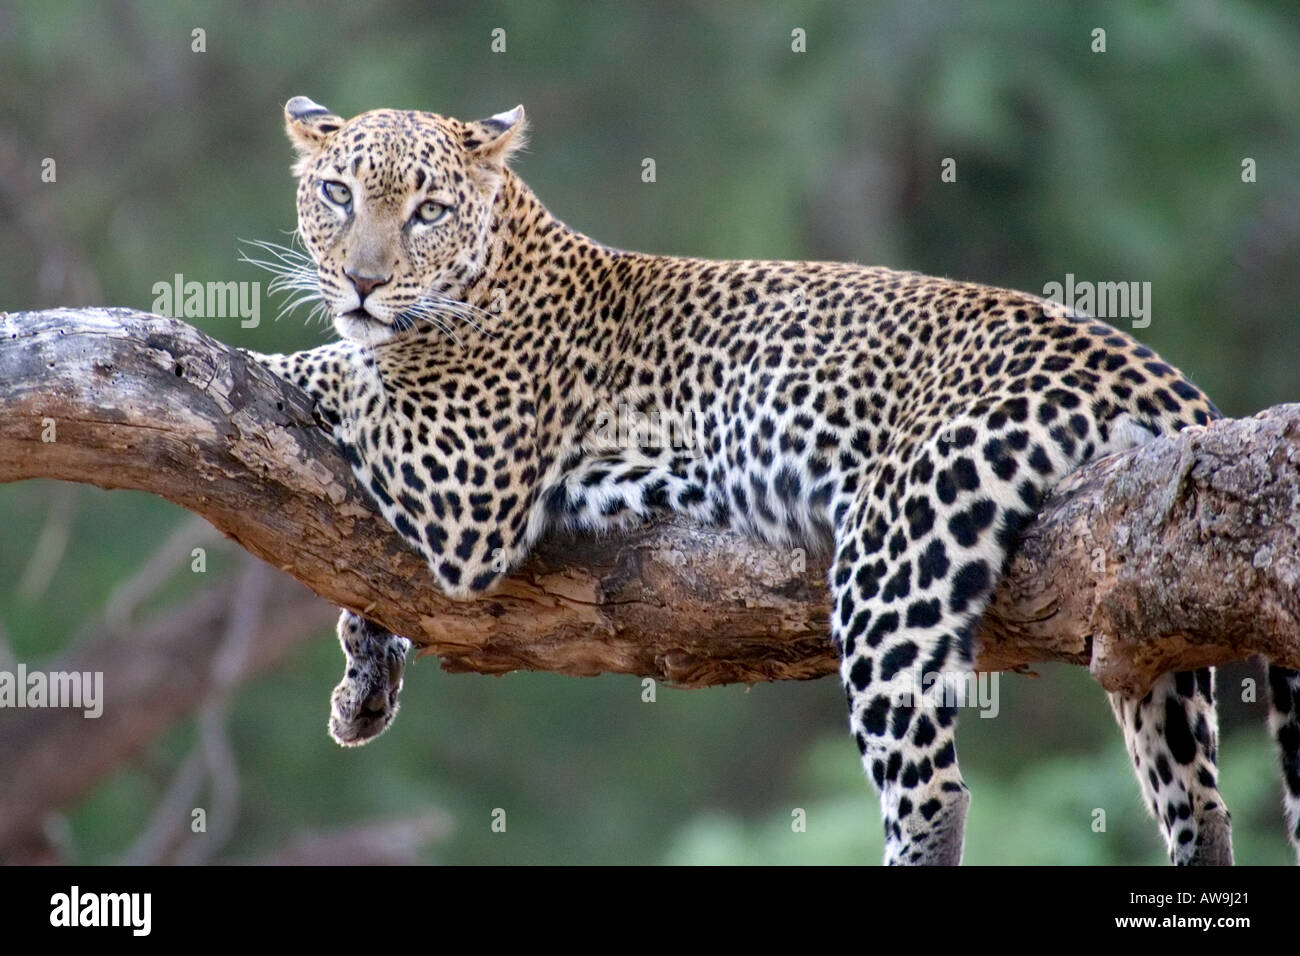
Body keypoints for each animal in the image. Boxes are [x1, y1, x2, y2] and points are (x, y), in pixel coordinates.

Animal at [246, 95, 1300, 865]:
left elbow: (330, 367)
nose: (364, 282)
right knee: (1195, 796)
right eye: (337, 194)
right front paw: (364, 681)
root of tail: (1161, 375)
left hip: (896, 554)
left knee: (935, 795)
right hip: (1141, 596)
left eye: (427, 210)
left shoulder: (465, 481)